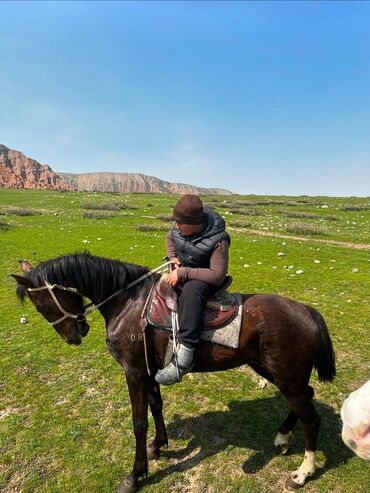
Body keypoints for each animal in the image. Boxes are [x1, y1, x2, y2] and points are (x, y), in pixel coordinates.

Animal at [12, 252, 336, 490]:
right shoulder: (150, 370)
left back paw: (302, 473)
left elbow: (139, 421)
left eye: (40, 304)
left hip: (286, 377)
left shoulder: (134, 371)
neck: (127, 303)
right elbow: (156, 406)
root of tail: (307, 311)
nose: (74, 336)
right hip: (276, 373)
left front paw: (135, 475)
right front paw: (159, 445)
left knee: (312, 419)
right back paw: (282, 437)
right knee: (308, 395)